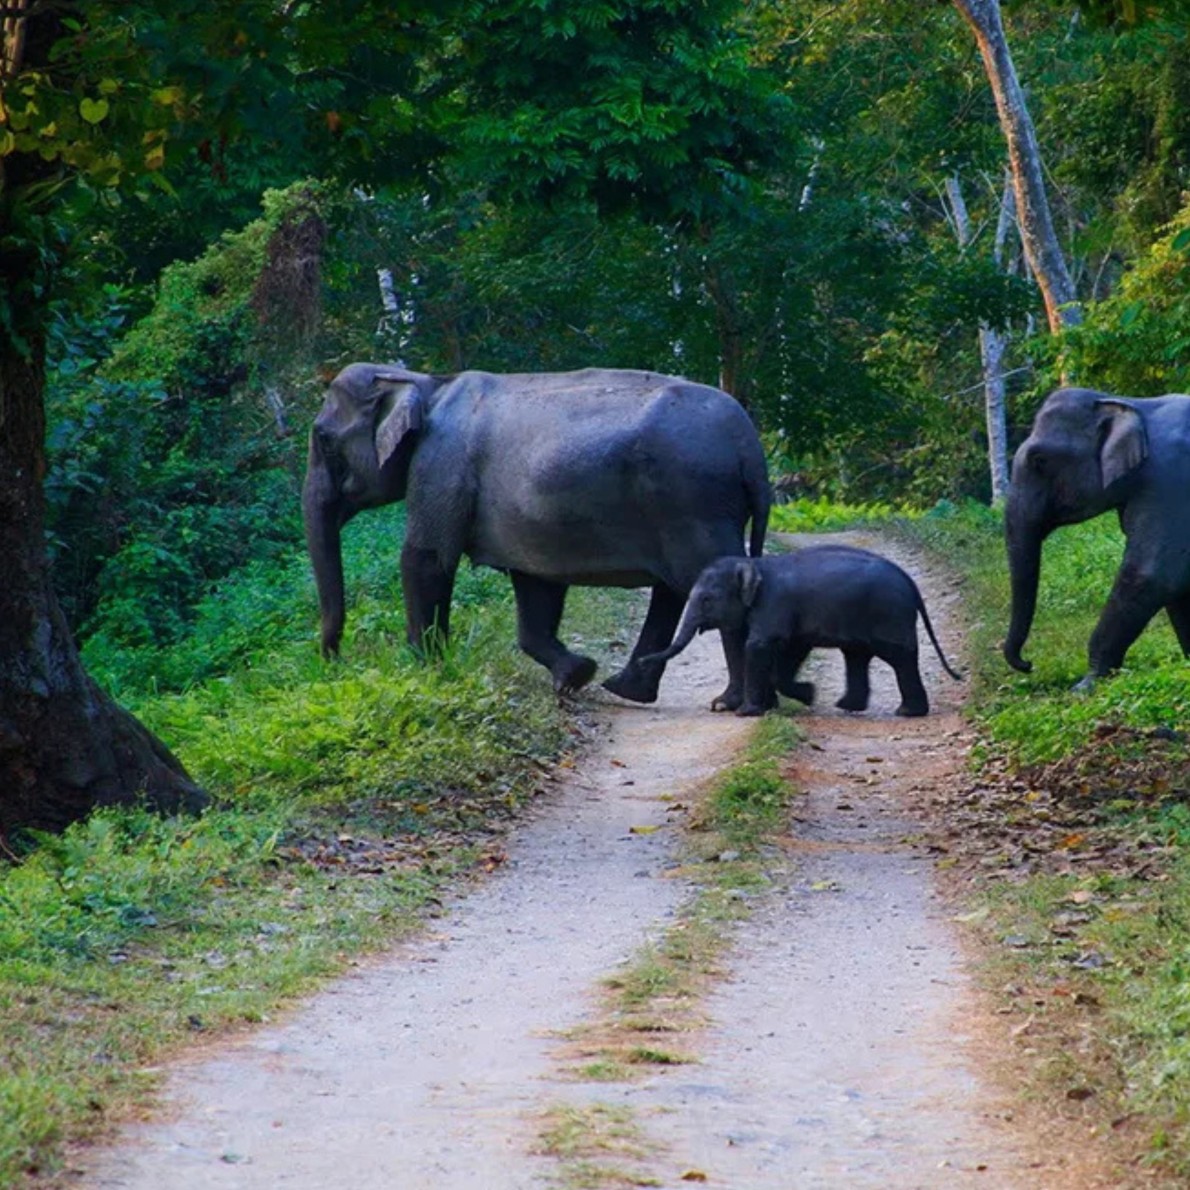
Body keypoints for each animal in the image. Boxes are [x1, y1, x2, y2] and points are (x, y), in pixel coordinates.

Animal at [302, 361, 775, 704]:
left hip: (692, 504)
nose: (333, 663)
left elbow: (425, 558)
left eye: (322, 439)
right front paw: (576, 675)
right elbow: (535, 585)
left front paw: (426, 672)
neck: (425, 381)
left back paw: (732, 703)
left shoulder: (441, 465)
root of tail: (750, 447)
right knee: (674, 591)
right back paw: (626, 691)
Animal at [647, 545, 961, 714]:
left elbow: (760, 645)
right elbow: (793, 648)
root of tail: (910, 582)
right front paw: (808, 695)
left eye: (706, 599)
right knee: (857, 655)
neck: (753, 563)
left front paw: (749, 713)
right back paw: (847, 706)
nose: (640, 660)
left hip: (889, 615)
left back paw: (907, 712)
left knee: (899, 657)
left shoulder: (774, 604)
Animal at [1004, 387, 1190, 690]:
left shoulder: (1172, 480)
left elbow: (1151, 574)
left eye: (1039, 460)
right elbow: (1177, 587)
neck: (1132, 405)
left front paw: (1084, 686)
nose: (1027, 664)